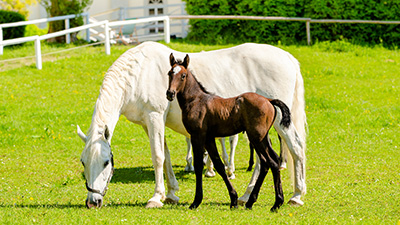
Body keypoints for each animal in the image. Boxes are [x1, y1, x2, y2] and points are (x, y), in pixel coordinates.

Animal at [76, 41, 306, 208]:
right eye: (83, 162)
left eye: (106, 162)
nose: (93, 202)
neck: (138, 73)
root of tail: (287, 57)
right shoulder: (148, 124)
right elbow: (166, 157)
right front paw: (170, 194)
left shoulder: (155, 117)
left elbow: (157, 157)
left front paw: (156, 198)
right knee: (267, 159)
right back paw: (248, 197)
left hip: (276, 126)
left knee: (293, 149)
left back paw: (294, 196)